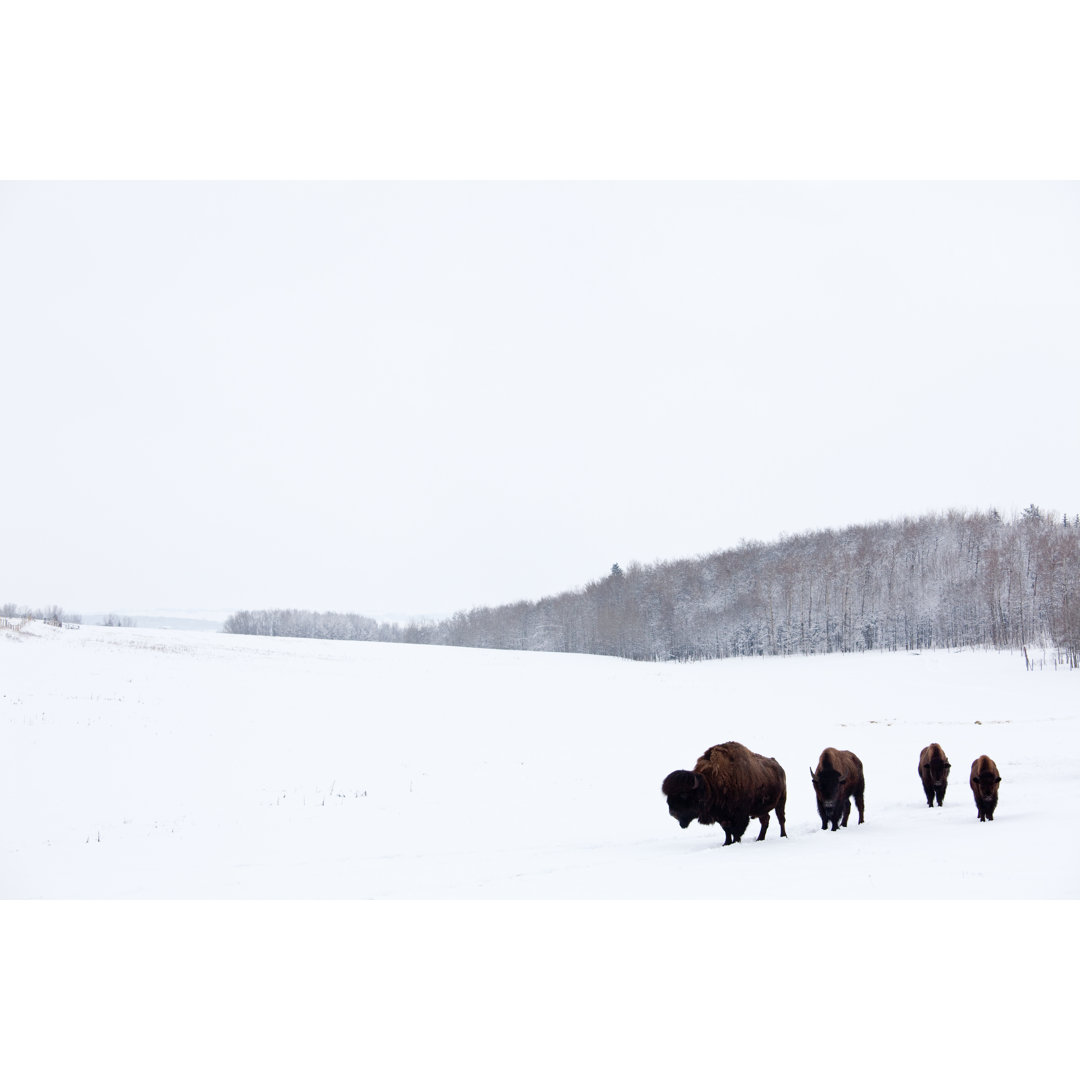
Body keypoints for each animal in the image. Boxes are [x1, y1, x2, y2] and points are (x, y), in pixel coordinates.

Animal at [660, 738, 790, 846]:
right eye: (668, 796)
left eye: (683, 795)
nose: (672, 812)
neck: (711, 784)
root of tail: (779, 766)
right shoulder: (721, 815)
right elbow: (727, 831)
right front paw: (726, 843)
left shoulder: (739, 814)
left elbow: (736, 831)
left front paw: (735, 843)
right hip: (761, 808)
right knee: (765, 820)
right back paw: (760, 839)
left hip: (781, 801)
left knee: (781, 819)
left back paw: (783, 836)